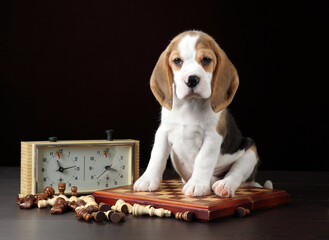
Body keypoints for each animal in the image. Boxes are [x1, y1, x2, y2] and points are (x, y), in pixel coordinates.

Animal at [133, 30, 270, 197]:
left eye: (206, 59)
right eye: (177, 61)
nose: (192, 80)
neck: (190, 104)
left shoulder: (212, 136)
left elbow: (203, 160)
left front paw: (197, 184)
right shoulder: (163, 132)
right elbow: (157, 156)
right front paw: (147, 179)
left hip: (250, 151)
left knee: (235, 174)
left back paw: (223, 185)